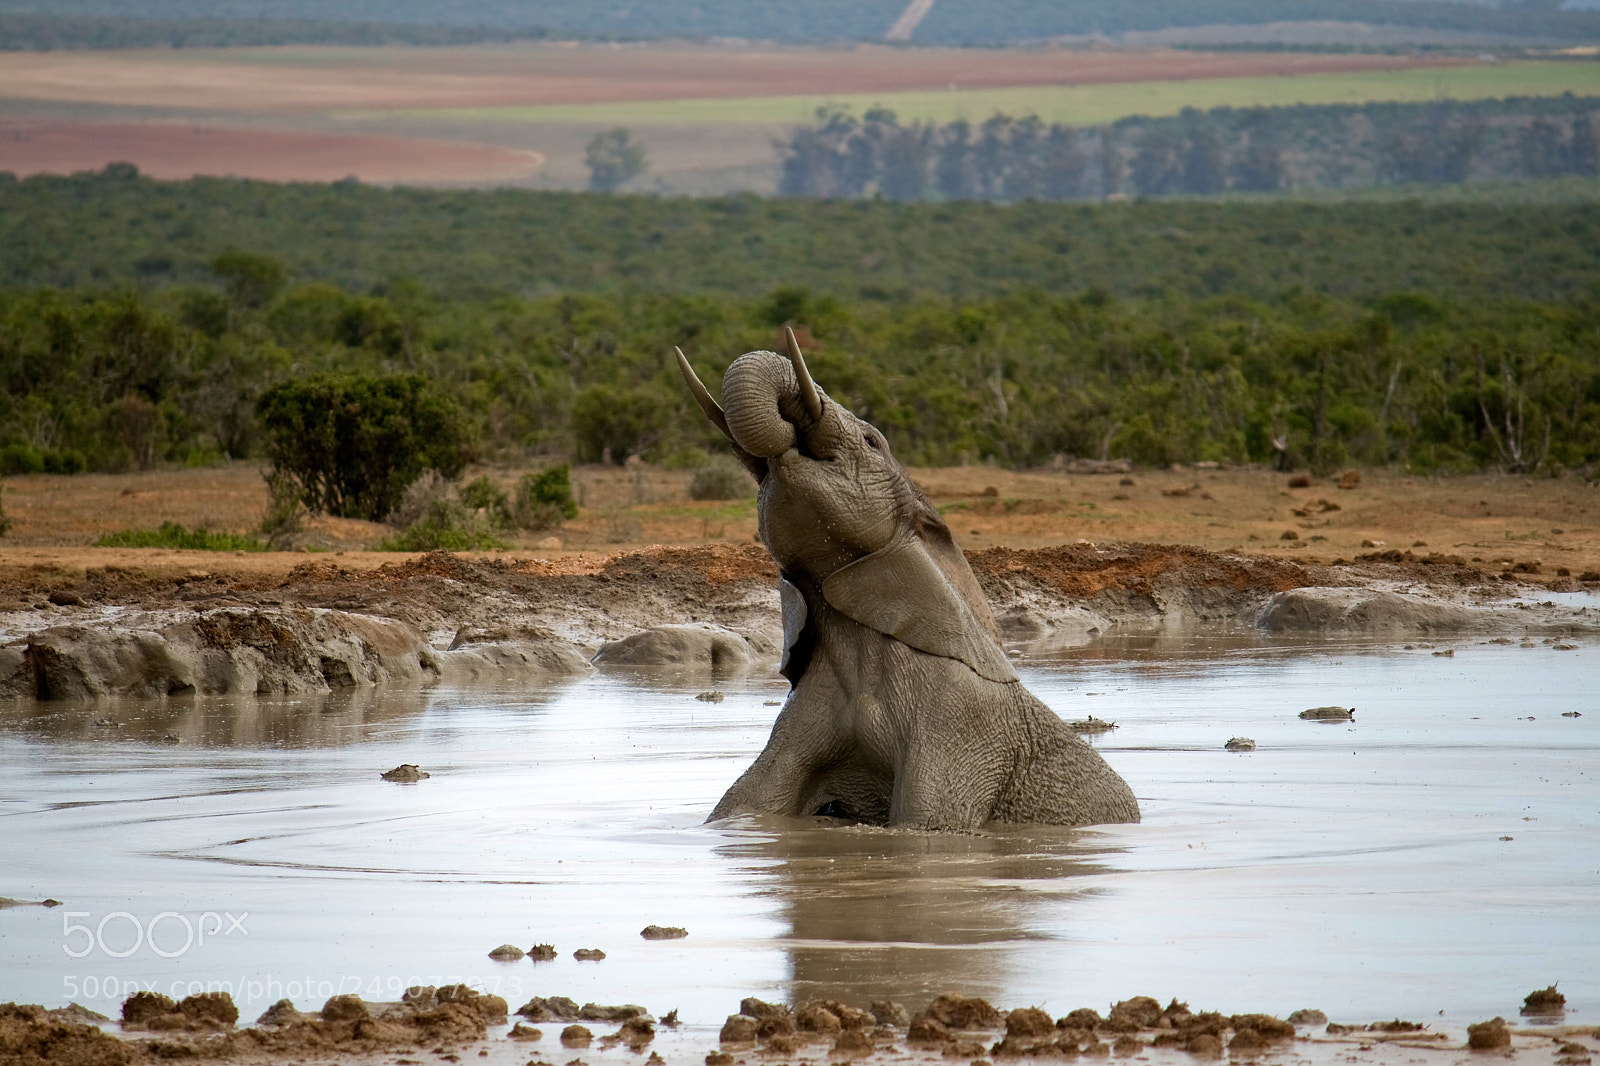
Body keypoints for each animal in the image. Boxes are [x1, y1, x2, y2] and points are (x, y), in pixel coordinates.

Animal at [675, 330, 1140, 831]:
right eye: (753, 470)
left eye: (871, 440)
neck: (858, 642)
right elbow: (743, 806)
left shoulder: (964, 722)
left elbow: (924, 824)